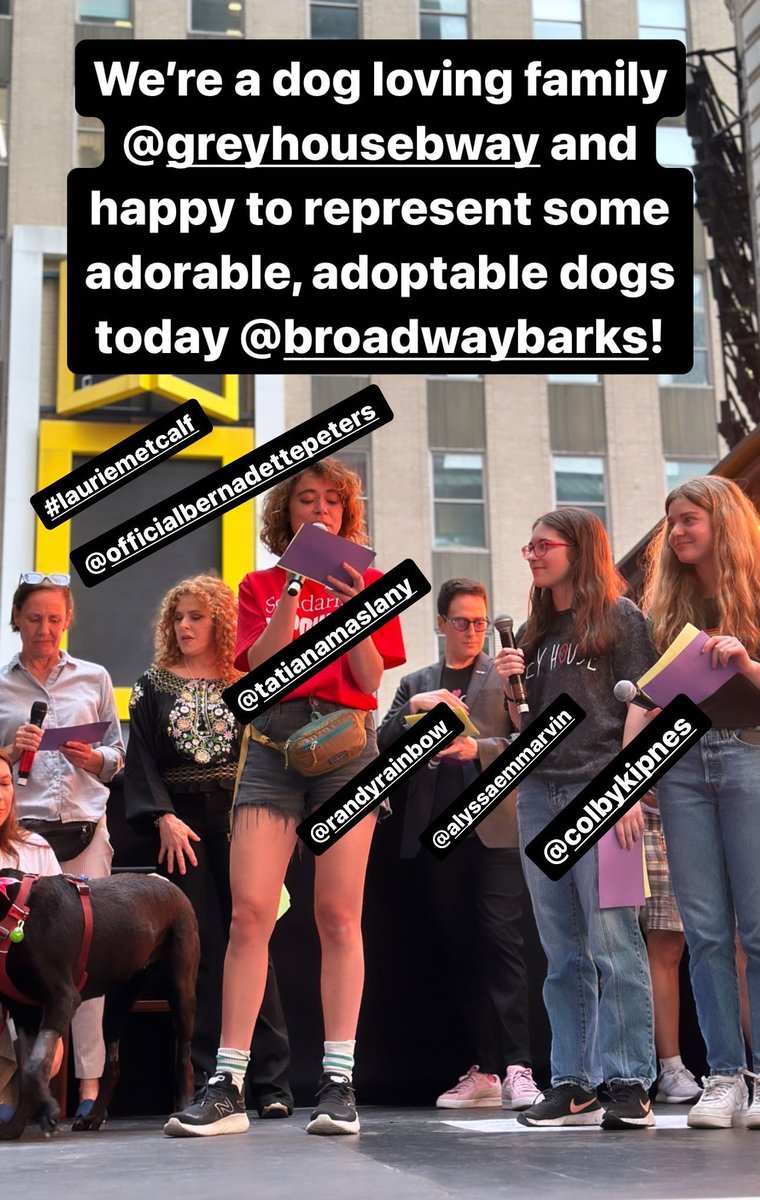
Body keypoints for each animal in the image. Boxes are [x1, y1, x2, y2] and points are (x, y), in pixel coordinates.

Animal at [0, 868, 198, 1137]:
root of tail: (168, 884)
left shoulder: (62, 998)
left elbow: (34, 1066)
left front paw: (48, 1111)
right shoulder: (24, 1014)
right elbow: (30, 1068)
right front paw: (17, 1125)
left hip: (181, 989)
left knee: (185, 1057)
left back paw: (186, 1107)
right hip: (117, 1003)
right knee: (112, 1068)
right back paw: (93, 1117)